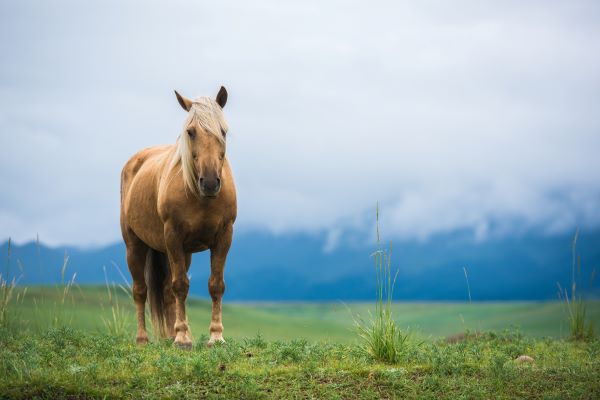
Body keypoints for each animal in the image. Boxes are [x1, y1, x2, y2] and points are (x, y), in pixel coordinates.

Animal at [119, 86, 237, 348]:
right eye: (190, 132)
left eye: (223, 131)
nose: (210, 182)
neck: (200, 197)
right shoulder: (173, 236)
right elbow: (180, 285)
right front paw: (183, 339)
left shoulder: (224, 236)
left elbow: (216, 285)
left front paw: (216, 337)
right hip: (135, 244)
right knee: (140, 290)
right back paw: (143, 339)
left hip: (182, 252)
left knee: (165, 290)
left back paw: (170, 335)